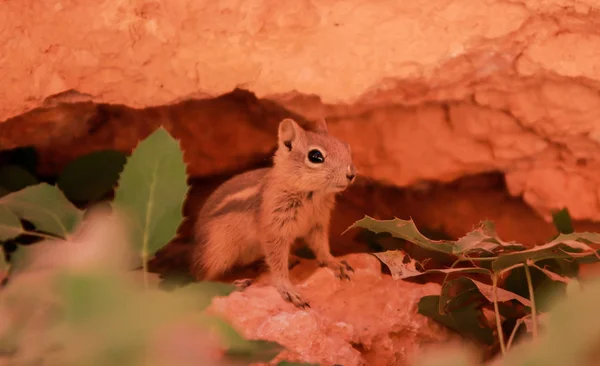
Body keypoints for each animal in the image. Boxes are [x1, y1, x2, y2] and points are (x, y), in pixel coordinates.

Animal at [191, 117, 356, 306]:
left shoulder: (317, 224)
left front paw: (335, 263)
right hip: (218, 253)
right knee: (203, 278)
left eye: (346, 146)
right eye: (315, 156)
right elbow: (277, 263)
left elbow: (321, 247)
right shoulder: (275, 230)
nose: (351, 174)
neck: (312, 195)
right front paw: (288, 289)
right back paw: (237, 283)